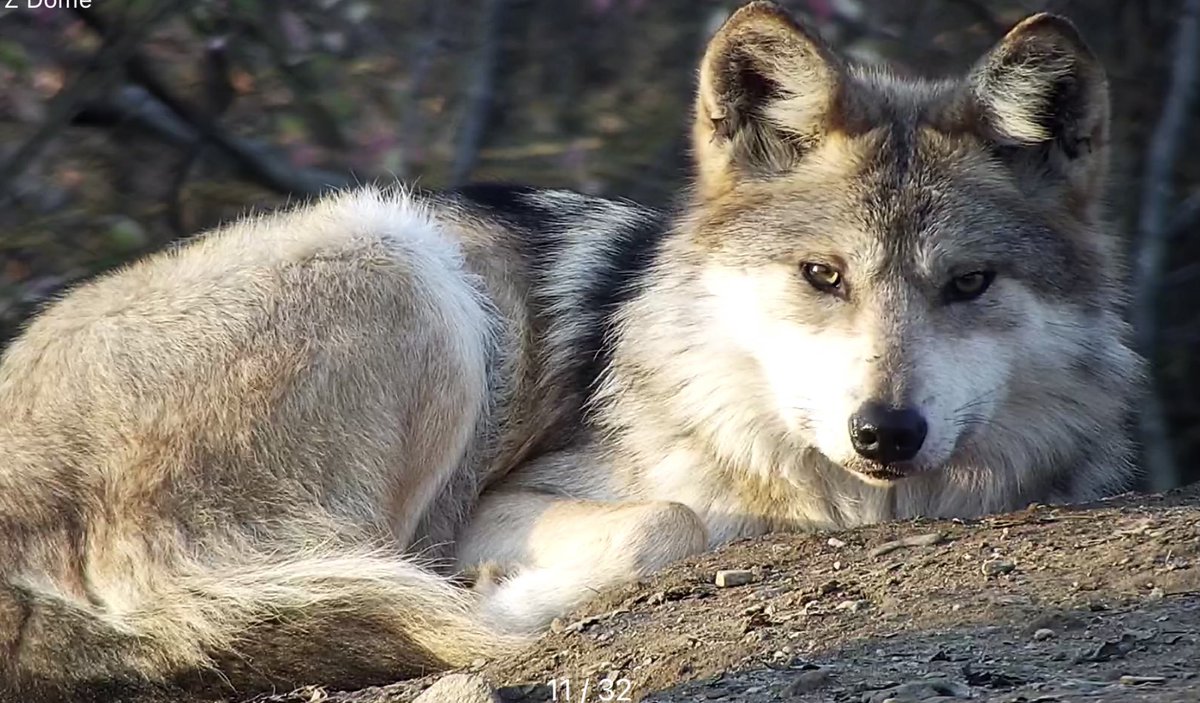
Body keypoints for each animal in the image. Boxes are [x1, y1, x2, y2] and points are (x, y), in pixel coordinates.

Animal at [0, 2, 1140, 699]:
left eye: (968, 284)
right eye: (823, 275)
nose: (886, 432)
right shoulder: (503, 504)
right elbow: (668, 519)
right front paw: (511, 595)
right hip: (407, 265)